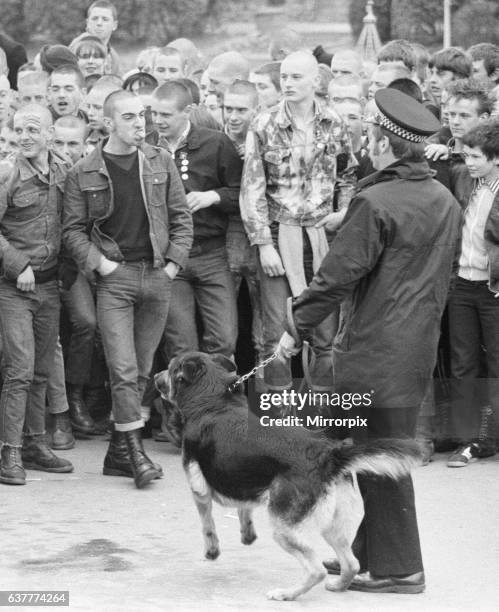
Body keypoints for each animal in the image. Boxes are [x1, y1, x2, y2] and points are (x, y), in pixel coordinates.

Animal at [155, 352, 422, 600]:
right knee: (351, 563)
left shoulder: (198, 489)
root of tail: (328, 454)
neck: (212, 398)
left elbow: (207, 525)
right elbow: (244, 508)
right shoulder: (242, 477)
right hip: (332, 525)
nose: (155, 376)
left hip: (283, 528)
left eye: (169, 368)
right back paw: (338, 585)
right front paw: (247, 534)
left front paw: (212, 551)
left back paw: (287, 594)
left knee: (316, 569)